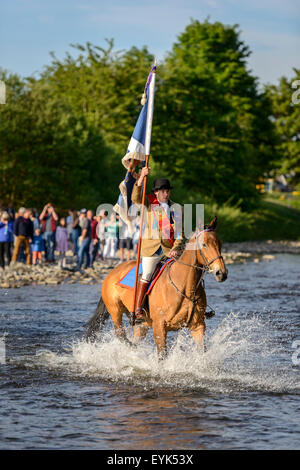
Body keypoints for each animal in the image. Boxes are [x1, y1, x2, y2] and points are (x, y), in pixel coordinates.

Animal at [86, 218, 227, 360]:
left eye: (220, 243)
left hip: (141, 324)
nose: (221, 273)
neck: (185, 287)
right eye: (204, 244)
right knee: (121, 335)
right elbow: (162, 356)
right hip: (115, 311)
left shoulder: (198, 326)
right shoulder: (159, 327)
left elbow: (202, 352)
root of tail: (112, 272)